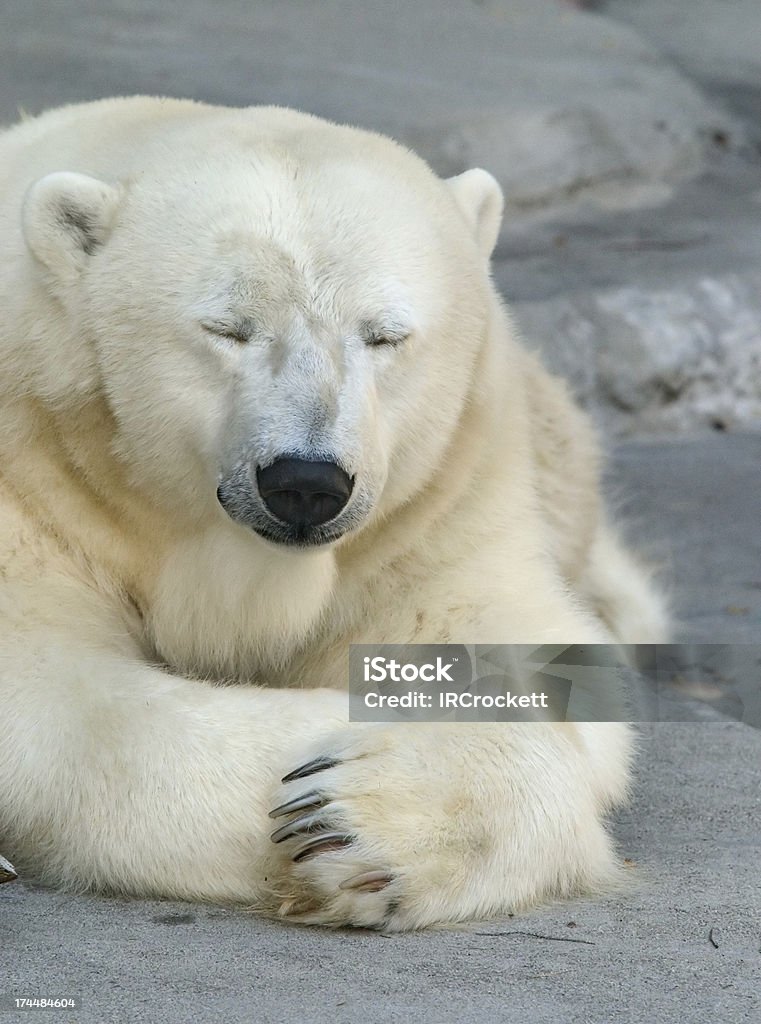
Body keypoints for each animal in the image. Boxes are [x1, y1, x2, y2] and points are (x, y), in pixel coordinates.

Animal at [0, 99, 667, 933]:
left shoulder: (434, 512)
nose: (306, 483)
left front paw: (361, 816)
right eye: (227, 327)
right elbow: (52, 688)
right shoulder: (37, 482)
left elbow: (527, 658)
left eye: (384, 335)